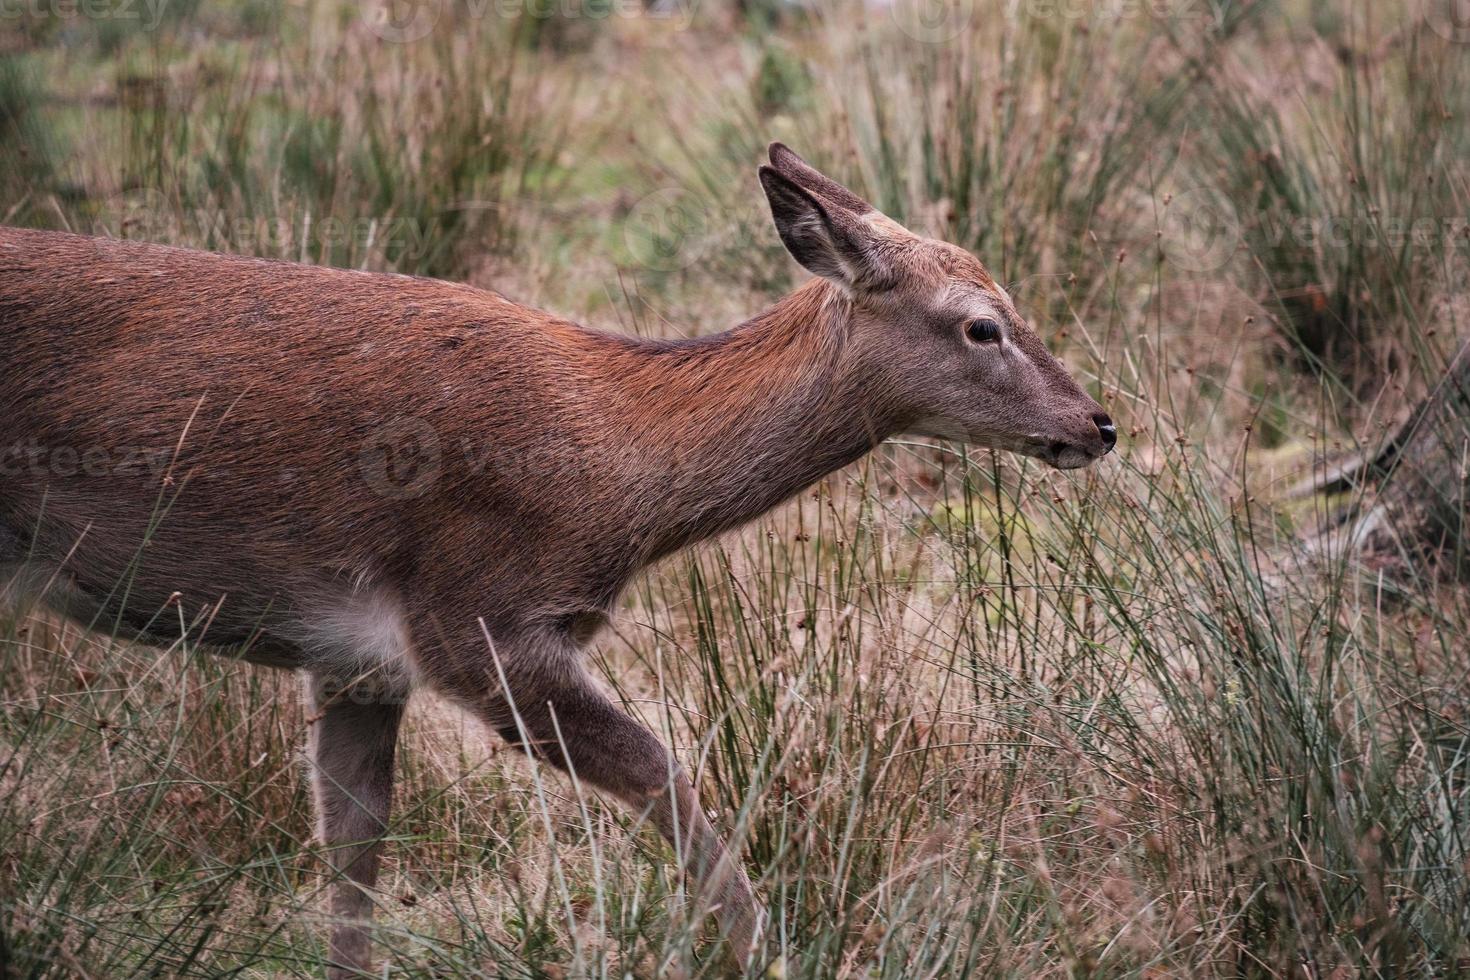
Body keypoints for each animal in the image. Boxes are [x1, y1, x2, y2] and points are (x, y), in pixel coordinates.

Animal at [0, 143, 1111, 975]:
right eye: (982, 323)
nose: (1097, 423)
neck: (620, 463)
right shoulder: (477, 620)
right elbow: (665, 768)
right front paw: (768, 953)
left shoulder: (359, 659)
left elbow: (354, 851)